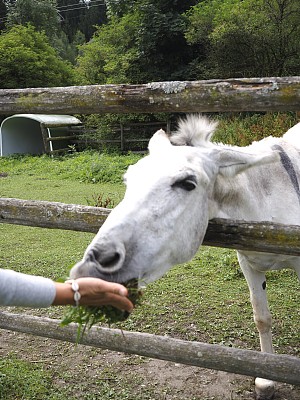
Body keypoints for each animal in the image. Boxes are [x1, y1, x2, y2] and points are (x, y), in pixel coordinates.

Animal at [71, 114, 300, 398]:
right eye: (128, 180)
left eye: (187, 183)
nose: (94, 265)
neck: (266, 201)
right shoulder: (249, 263)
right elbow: (262, 318)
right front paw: (266, 381)